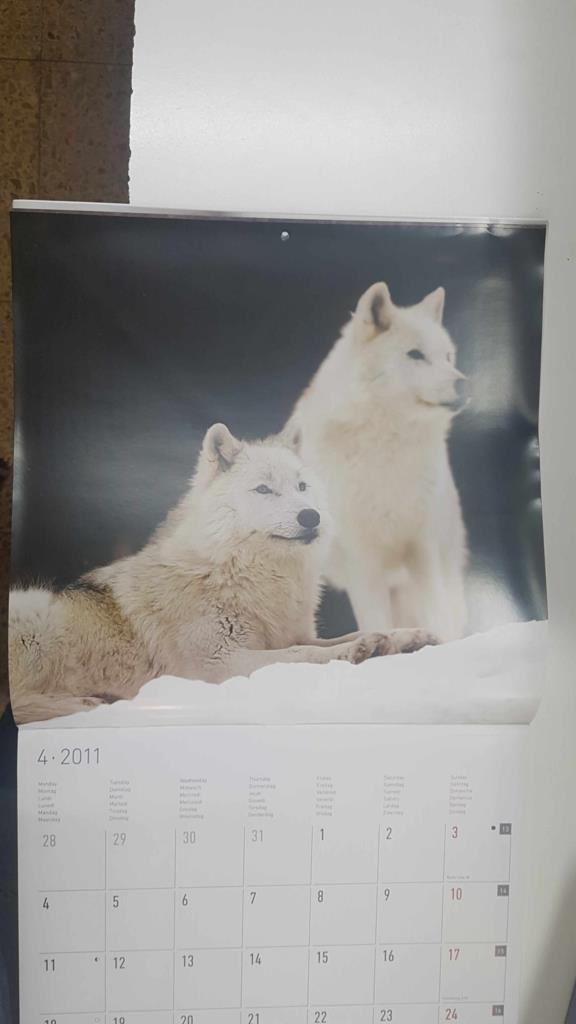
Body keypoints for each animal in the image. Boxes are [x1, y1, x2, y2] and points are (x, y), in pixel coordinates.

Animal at [9, 423, 435, 723]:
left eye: (302, 486)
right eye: (264, 490)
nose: (310, 516)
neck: (245, 574)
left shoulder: (289, 633)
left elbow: (336, 637)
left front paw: (403, 637)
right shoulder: (220, 663)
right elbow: (300, 655)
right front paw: (353, 652)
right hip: (35, 615)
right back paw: (89, 701)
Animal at [287, 281, 468, 641]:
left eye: (447, 356)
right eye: (415, 354)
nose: (463, 383)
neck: (387, 449)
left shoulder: (422, 546)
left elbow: (437, 615)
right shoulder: (362, 559)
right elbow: (375, 624)